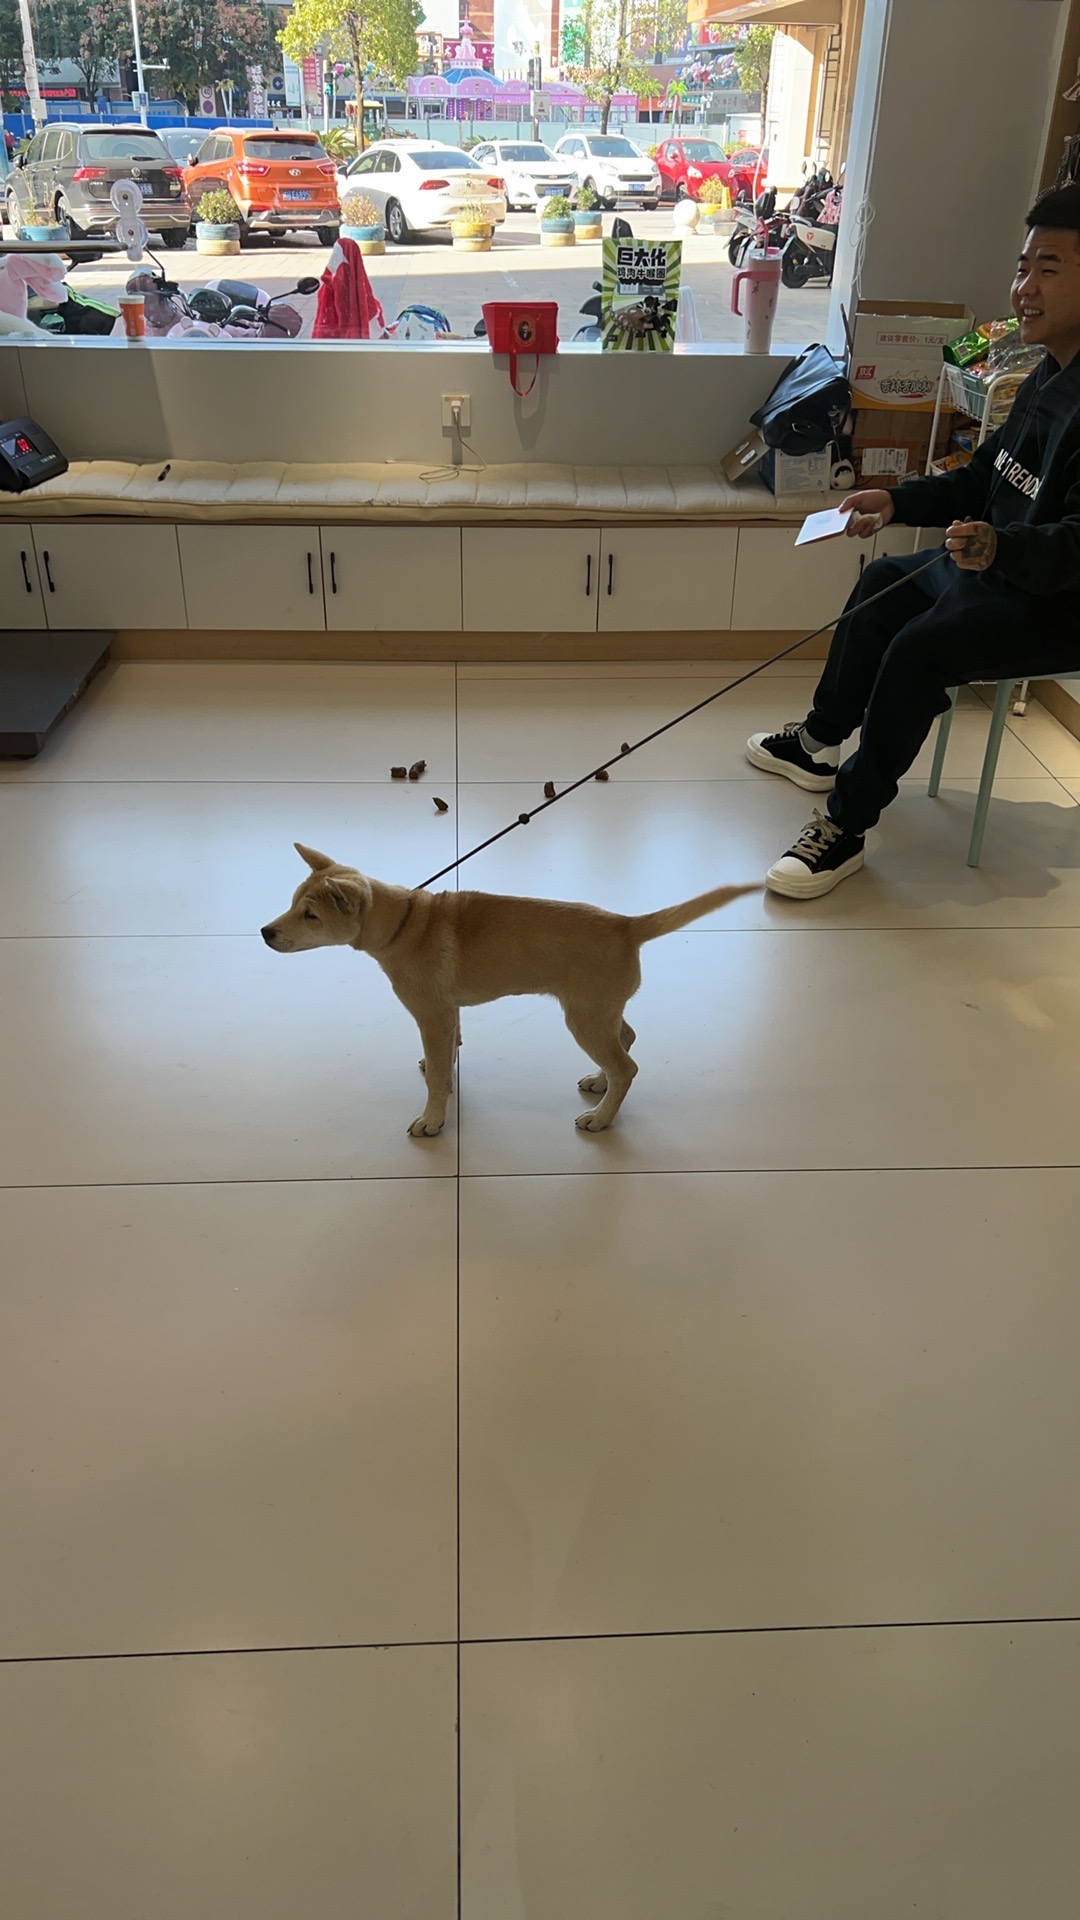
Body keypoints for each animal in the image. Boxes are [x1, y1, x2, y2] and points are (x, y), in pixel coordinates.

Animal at [262, 844, 759, 1137]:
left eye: (310, 916)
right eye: (293, 903)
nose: (265, 932)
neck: (404, 923)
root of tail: (627, 925)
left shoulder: (431, 1016)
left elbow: (438, 1076)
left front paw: (434, 1118)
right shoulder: (448, 1013)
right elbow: (449, 1054)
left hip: (584, 1017)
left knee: (629, 1067)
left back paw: (601, 1118)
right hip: (598, 1009)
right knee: (626, 1042)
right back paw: (600, 1083)